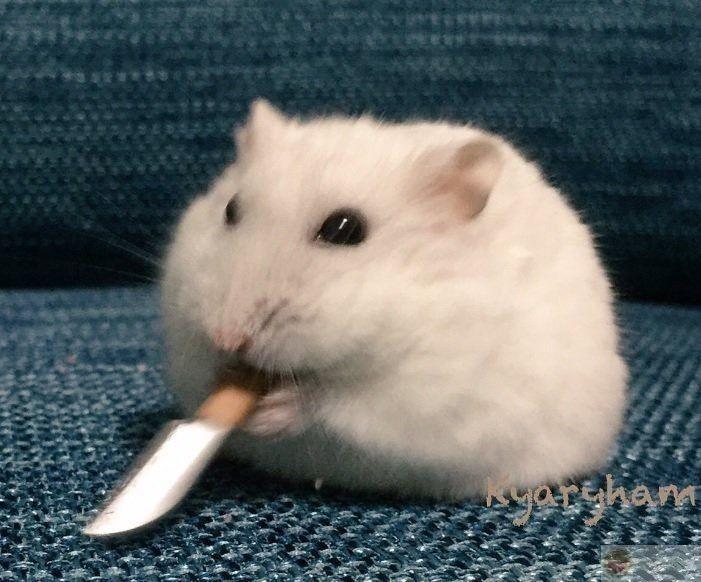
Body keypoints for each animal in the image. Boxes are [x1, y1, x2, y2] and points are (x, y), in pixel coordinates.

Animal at [161, 99, 627, 500]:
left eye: (344, 229)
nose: (226, 337)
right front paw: (222, 374)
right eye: (230, 209)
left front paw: (270, 412)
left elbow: (335, 404)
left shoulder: (427, 393)